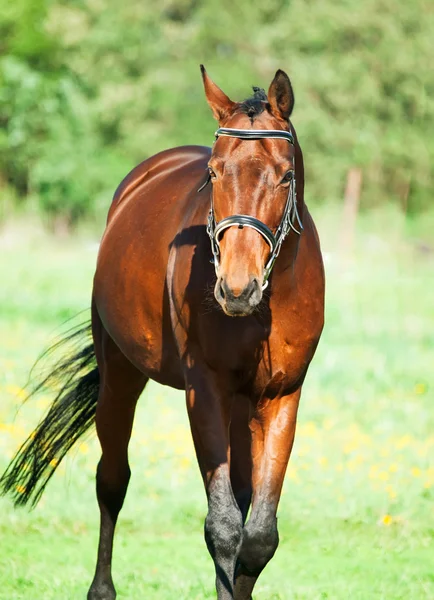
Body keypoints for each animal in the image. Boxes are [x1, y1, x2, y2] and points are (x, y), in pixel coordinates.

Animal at [1, 67, 324, 600]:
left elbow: (256, 536)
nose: (237, 288)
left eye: (284, 175)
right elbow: (223, 527)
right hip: (120, 375)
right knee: (112, 481)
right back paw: (101, 590)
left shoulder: (281, 397)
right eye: (213, 173)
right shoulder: (205, 391)